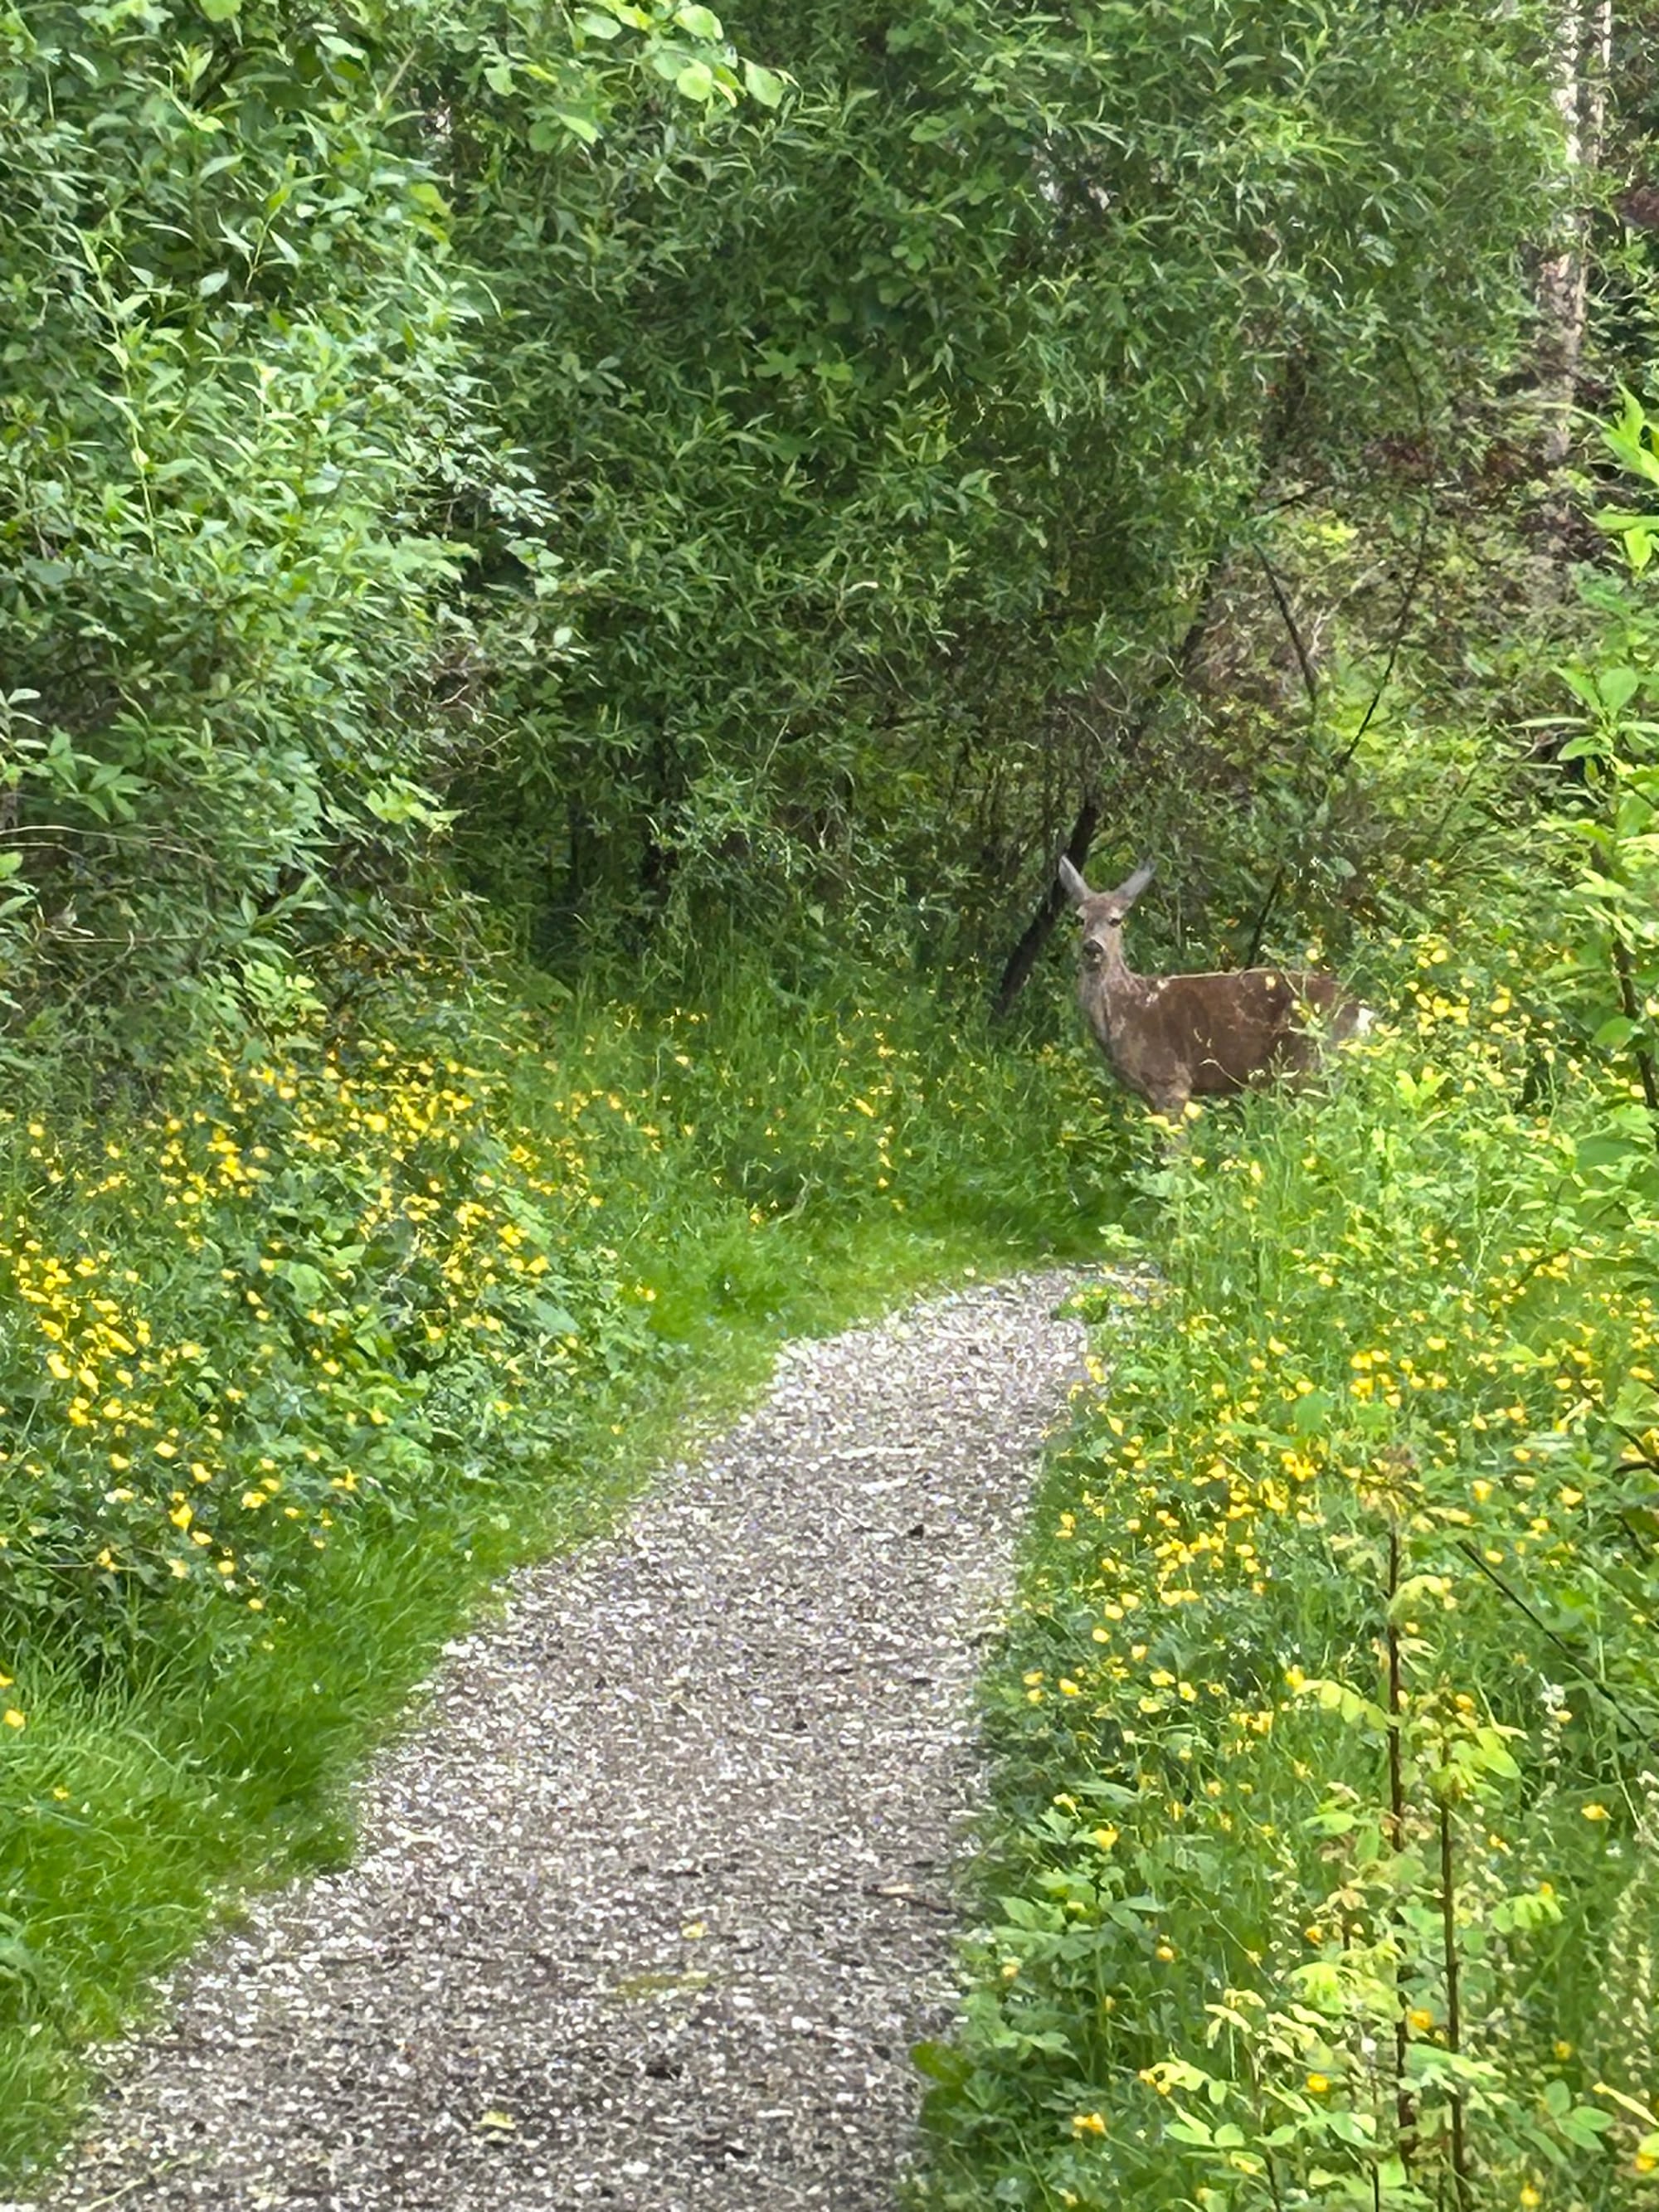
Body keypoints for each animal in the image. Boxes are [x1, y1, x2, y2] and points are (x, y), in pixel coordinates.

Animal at [1057, 857, 1370, 1120]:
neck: (1128, 1007)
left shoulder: (1172, 1080)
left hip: (1310, 1063)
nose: (1092, 947)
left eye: (1115, 920)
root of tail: (1360, 1011)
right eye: (1080, 918)